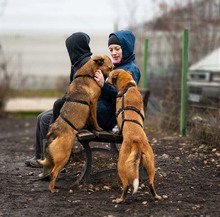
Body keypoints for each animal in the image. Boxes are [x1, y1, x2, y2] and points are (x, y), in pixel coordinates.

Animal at [36, 55, 113, 192]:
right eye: (110, 68)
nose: (110, 82)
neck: (89, 73)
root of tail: (54, 133)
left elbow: (90, 119)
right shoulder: (93, 102)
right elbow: (94, 119)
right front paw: (98, 128)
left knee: (52, 170)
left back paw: (55, 185)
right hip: (64, 156)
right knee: (54, 172)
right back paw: (53, 189)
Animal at [106, 69, 162, 203]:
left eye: (109, 75)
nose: (105, 79)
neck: (128, 86)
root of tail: (137, 142)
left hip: (121, 165)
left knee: (126, 185)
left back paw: (120, 199)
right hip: (151, 165)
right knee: (151, 183)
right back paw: (156, 196)